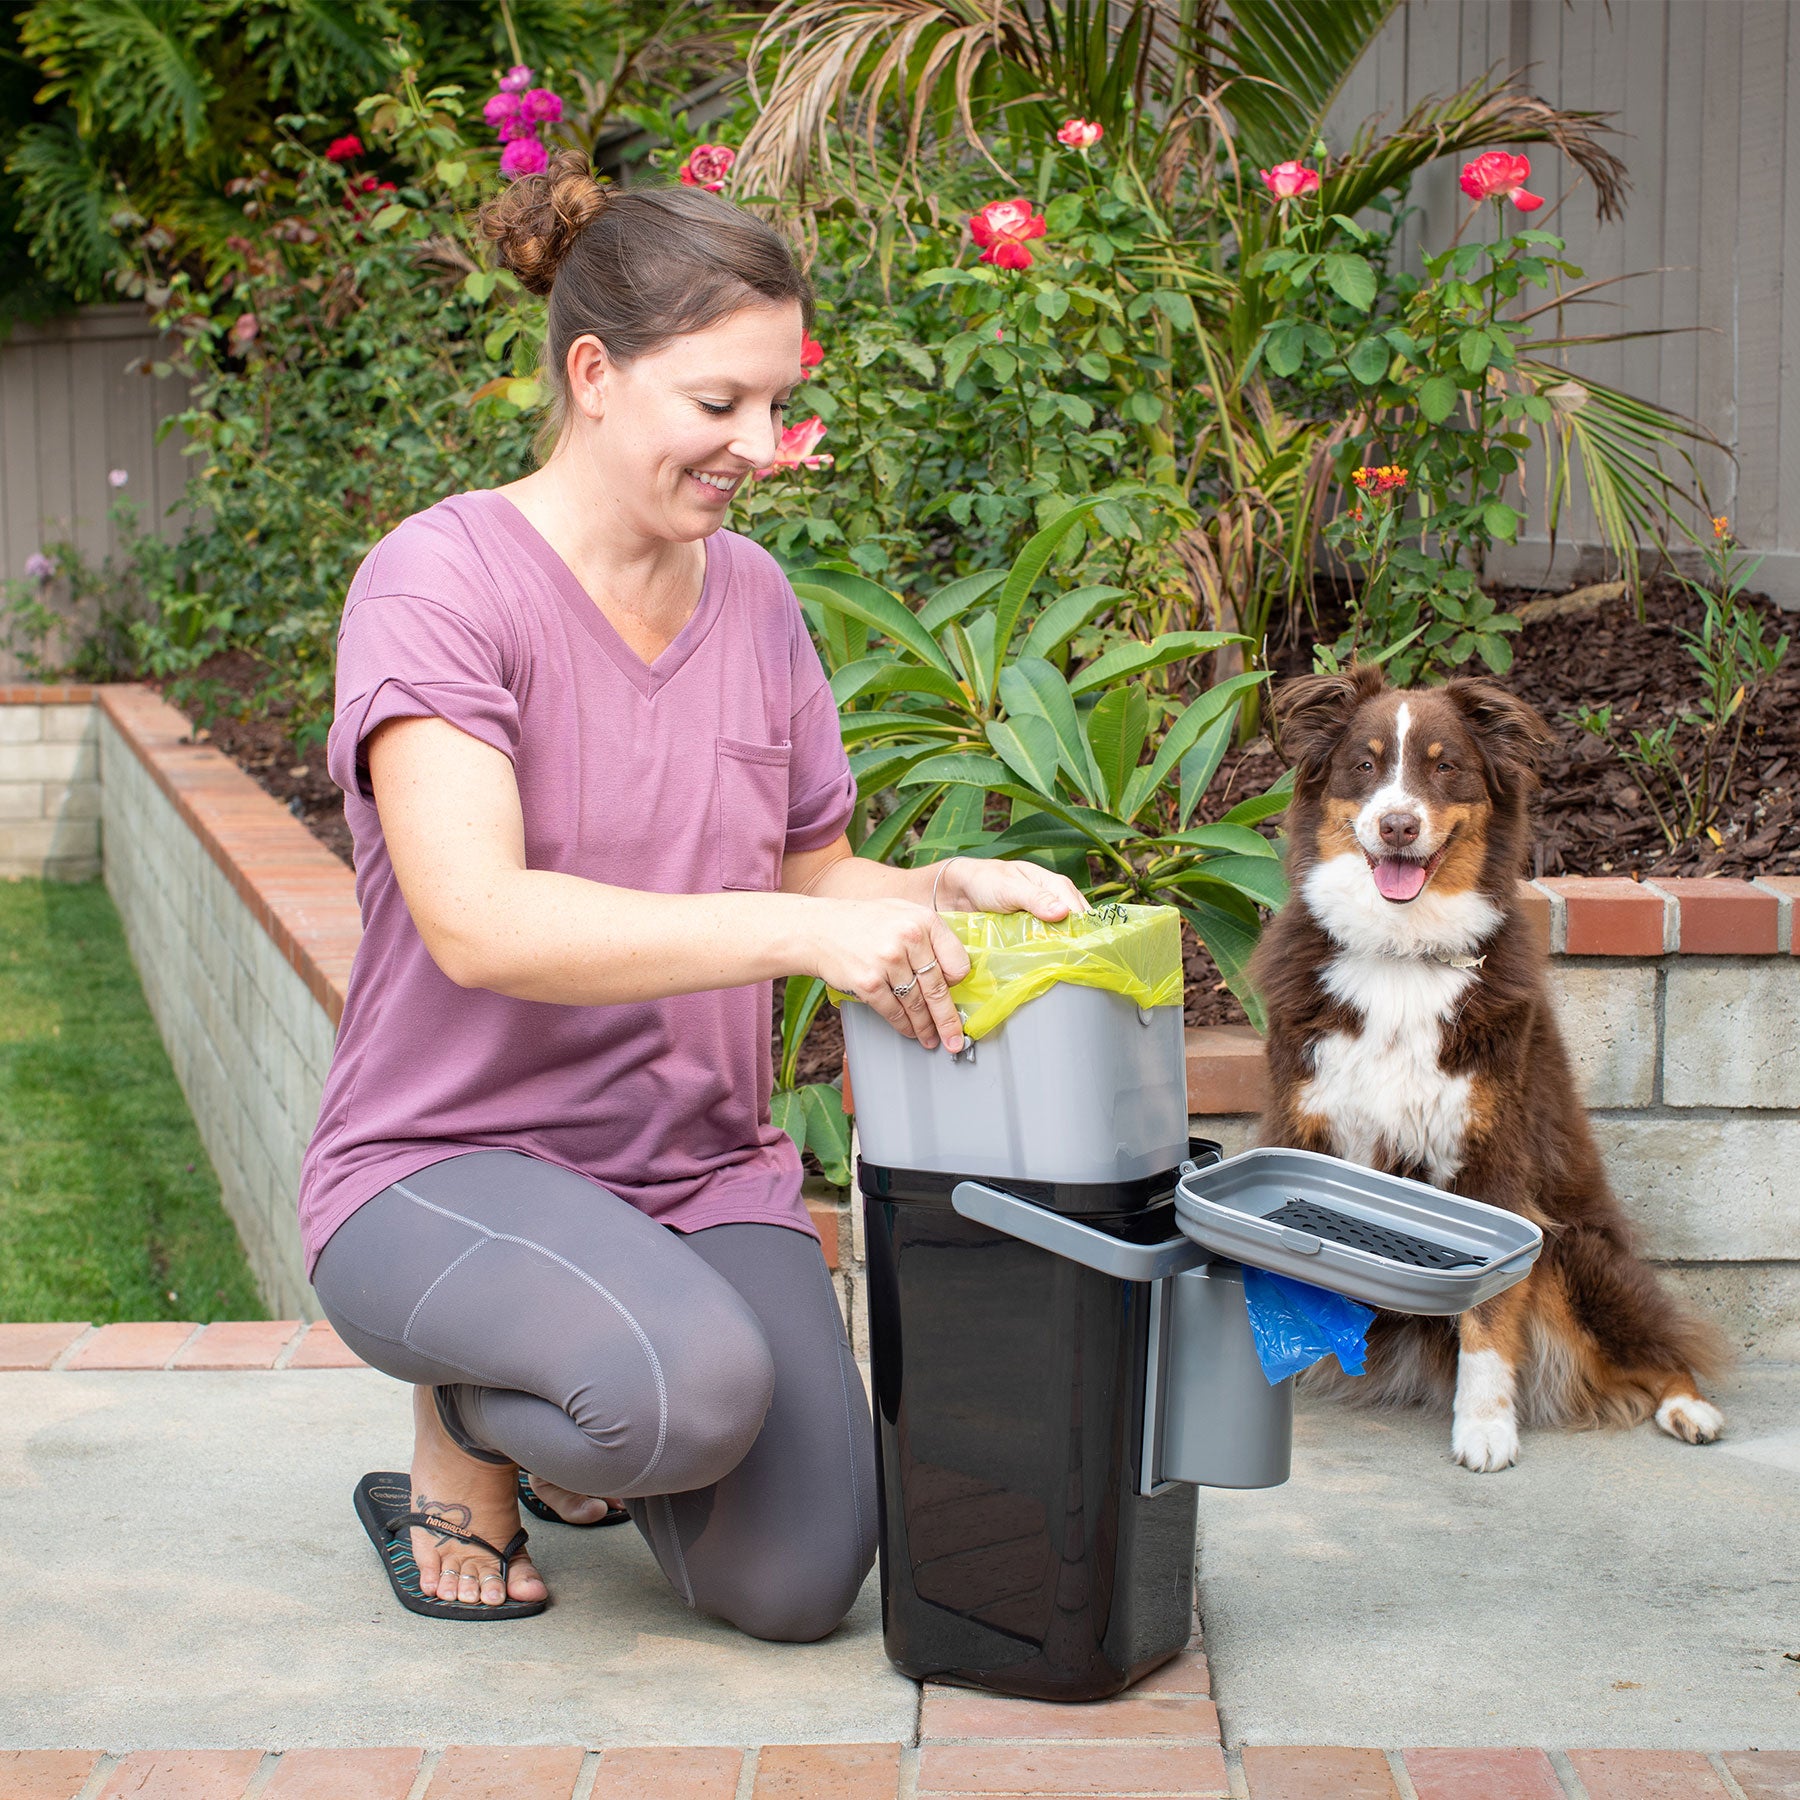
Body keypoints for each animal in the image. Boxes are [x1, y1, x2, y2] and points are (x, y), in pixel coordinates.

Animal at [1245, 669, 1720, 1468]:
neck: (1400, 955)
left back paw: (1690, 1408)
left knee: (1659, 1348)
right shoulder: (1300, 1124)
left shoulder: (1493, 1158)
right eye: (1365, 764)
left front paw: (1486, 1427)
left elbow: (1491, 1314)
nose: (1398, 826)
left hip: (1574, 1252)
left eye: (1445, 767)